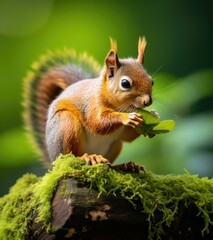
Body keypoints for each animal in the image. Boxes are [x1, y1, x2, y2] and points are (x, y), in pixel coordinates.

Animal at [23, 38, 155, 169]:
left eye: (151, 81)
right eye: (125, 83)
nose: (147, 101)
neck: (120, 107)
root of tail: (54, 162)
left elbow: (127, 137)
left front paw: (154, 114)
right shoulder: (92, 103)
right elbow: (97, 122)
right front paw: (127, 117)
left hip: (116, 145)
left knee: (110, 163)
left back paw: (125, 165)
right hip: (65, 125)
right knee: (70, 155)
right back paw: (89, 157)